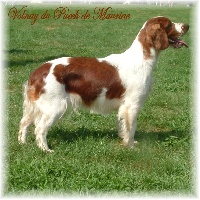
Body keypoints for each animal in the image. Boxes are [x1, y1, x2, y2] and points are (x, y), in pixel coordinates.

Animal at [18, 16, 189, 152]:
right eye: (169, 24)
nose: (187, 25)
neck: (142, 58)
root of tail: (37, 71)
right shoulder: (132, 105)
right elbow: (131, 128)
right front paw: (130, 146)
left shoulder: (124, 107)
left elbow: (123, 126)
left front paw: (127, 141)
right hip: (56, 106)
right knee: (40, 128)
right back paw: (45, 150)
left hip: (36, 106)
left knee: (24, 123)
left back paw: (23, 144)